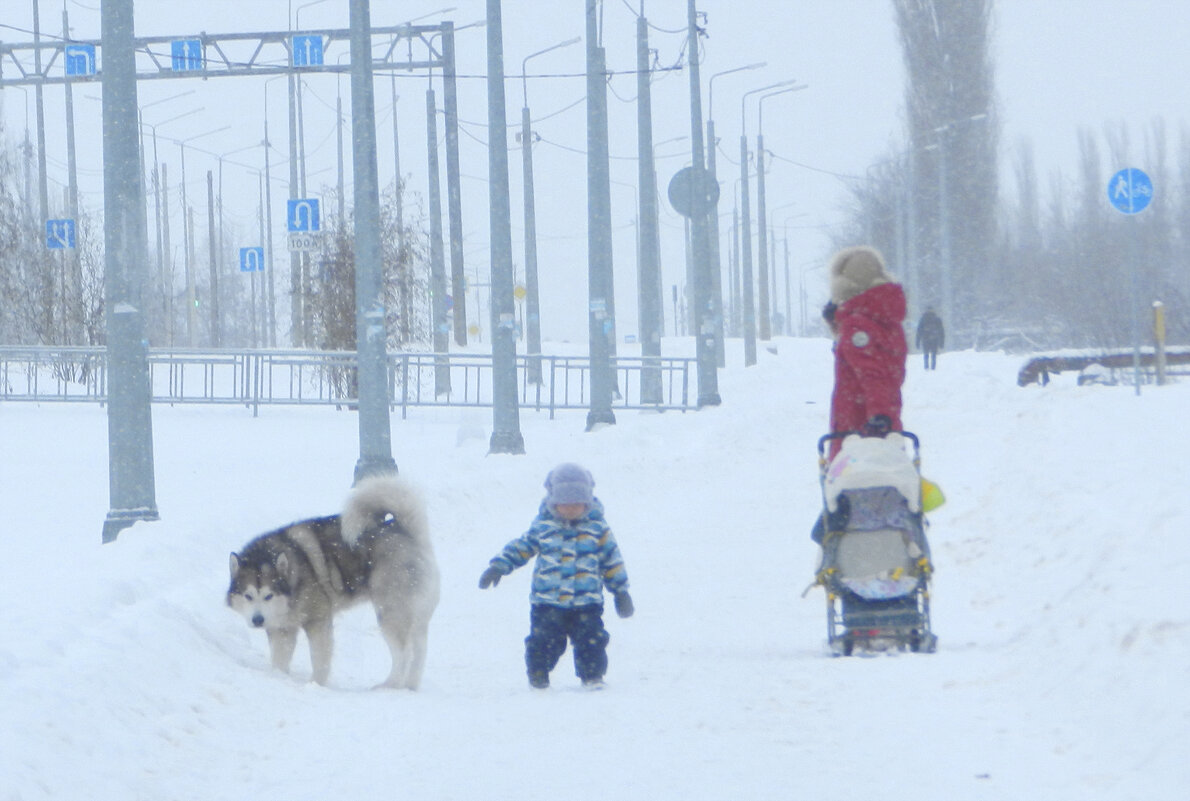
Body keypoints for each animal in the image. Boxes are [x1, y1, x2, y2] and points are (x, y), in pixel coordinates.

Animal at [224, 476, 440, 685]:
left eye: (268, 596)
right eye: (248, 596)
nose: (258, 620)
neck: (294, 577)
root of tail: (407, 532)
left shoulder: (318, 620)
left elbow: (320, 659)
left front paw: (316, 684)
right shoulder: (282, 628)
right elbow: (279, 659)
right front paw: (278, 676)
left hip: (390, 611)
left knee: (404, 654)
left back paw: (389, 685)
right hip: (416, 616)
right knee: (419, 652)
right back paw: (409, 686)